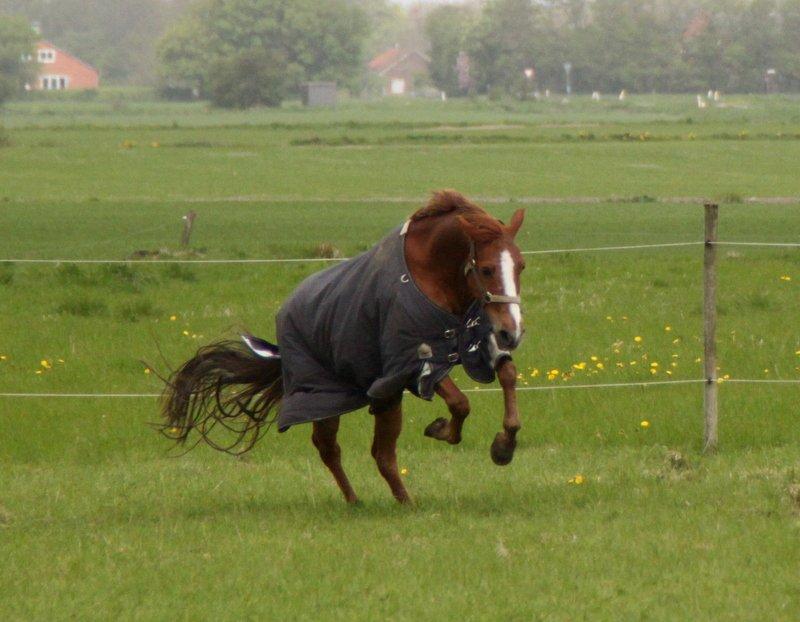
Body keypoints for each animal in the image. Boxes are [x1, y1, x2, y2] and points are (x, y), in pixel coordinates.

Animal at [161, 191, 524, 508]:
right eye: (487, 268)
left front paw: (503, 446)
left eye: (520, 265)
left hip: (381, 399)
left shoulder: (473, 346)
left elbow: (507, 373)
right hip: (328, 396)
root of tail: (286, 311)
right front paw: (442, 430)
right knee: (335, 448)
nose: (513, 332)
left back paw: (396, 499)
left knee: (378, 453)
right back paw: (366, 501)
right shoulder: (412, 364)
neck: (432, 278)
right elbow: (461, 404)